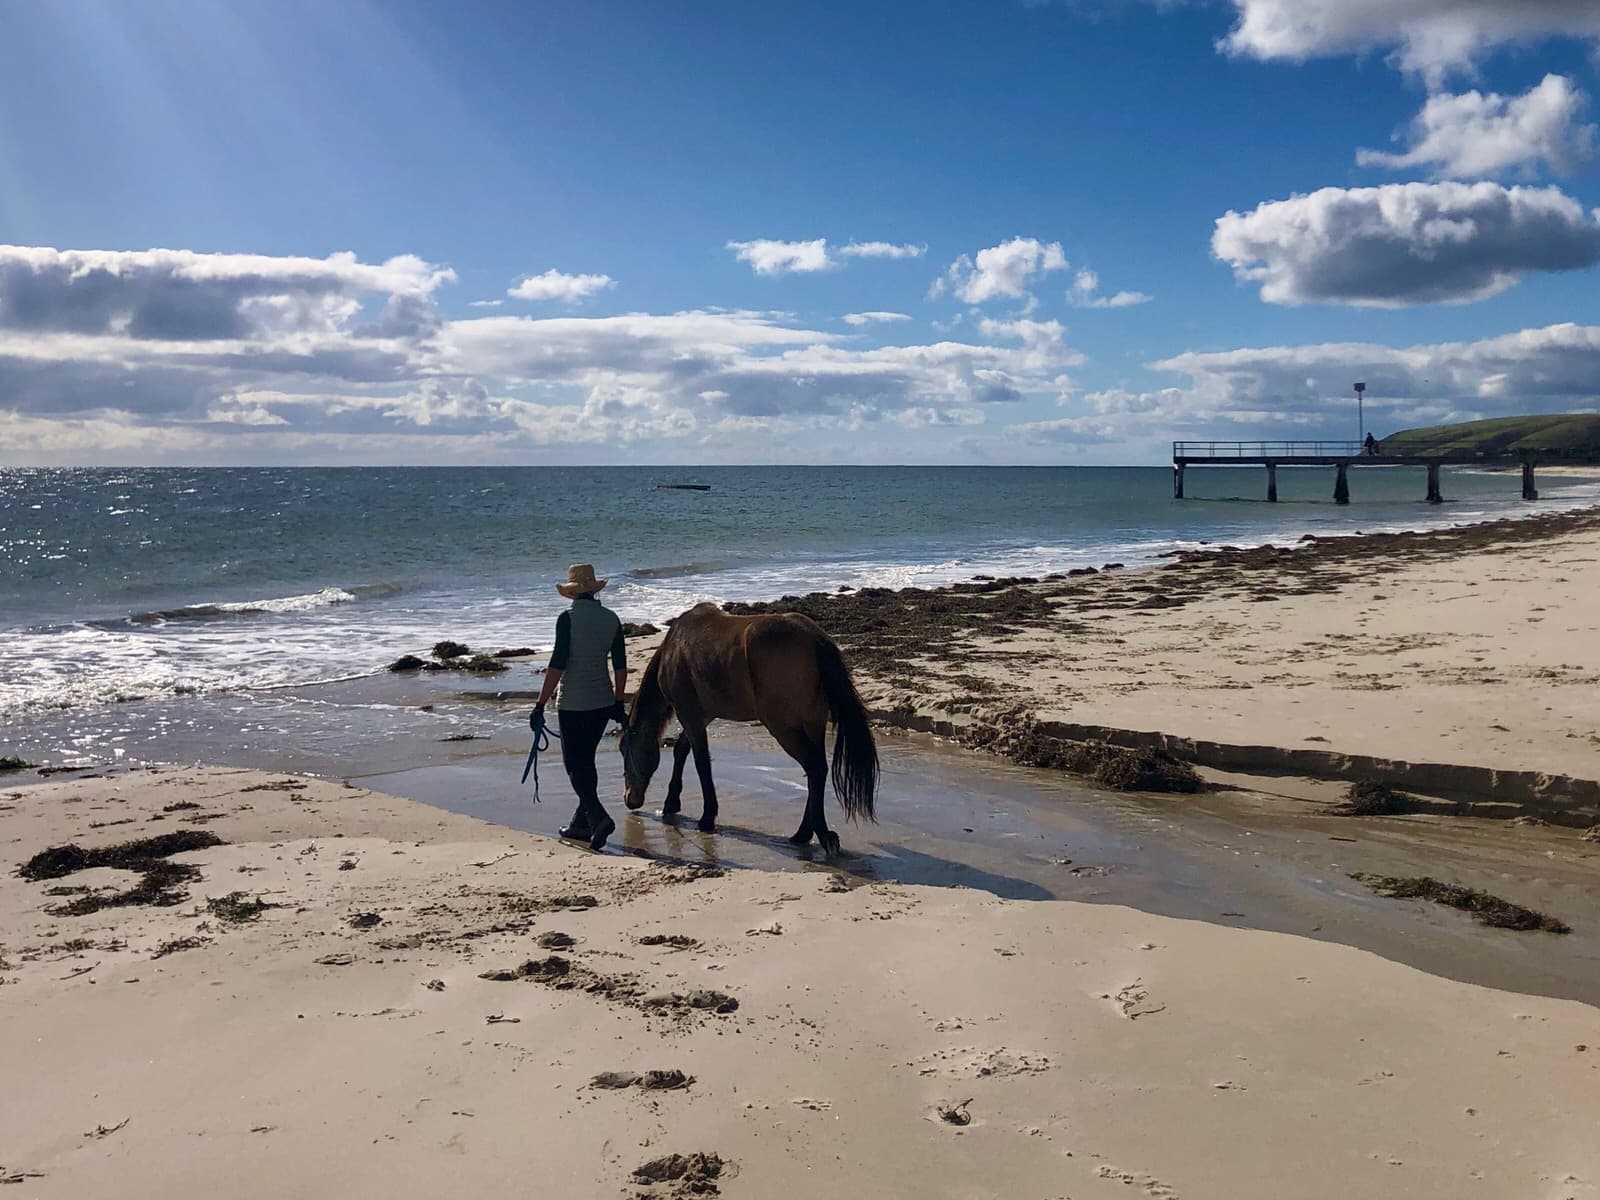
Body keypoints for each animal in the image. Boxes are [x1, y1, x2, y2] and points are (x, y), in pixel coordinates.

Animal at [620, 601, 876, 857]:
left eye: (624, 750)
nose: (629, 799)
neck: (672, 649)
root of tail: (815, 637)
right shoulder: (703, 715)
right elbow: (682, 750)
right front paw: (672, 802)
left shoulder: (689, 713)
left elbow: (701, 762)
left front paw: (706, 817)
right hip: (814, 723)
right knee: (817, 771)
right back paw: (804, 832)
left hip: (783, 726)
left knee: (814, 768)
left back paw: (818, 834)